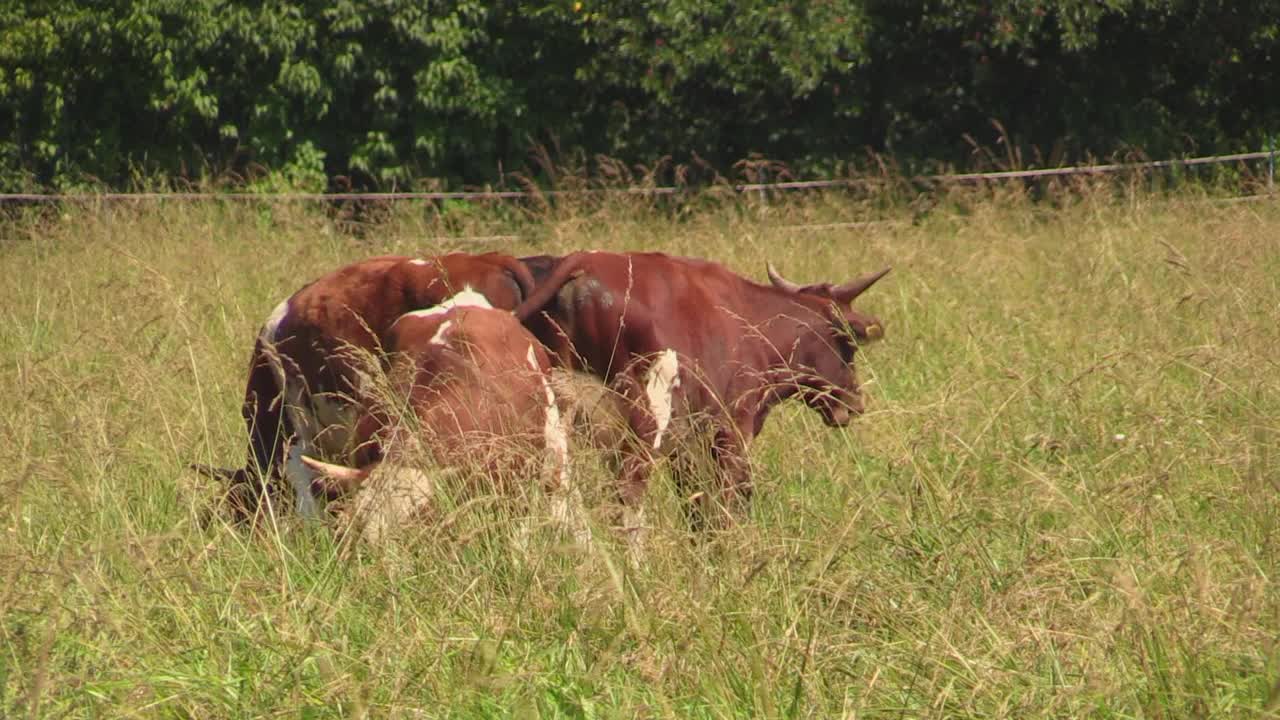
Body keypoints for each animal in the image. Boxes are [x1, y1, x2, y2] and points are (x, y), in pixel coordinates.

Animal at [509, 249, 890, 545]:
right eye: (849, 345)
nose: (855, 403)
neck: (751, 321)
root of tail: (585, 261)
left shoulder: (688, 444)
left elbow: (694, 503)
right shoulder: (731, 431)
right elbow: (731, 499)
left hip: (554, 417)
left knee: (549, 484)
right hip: (646, 419)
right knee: (628, 491)